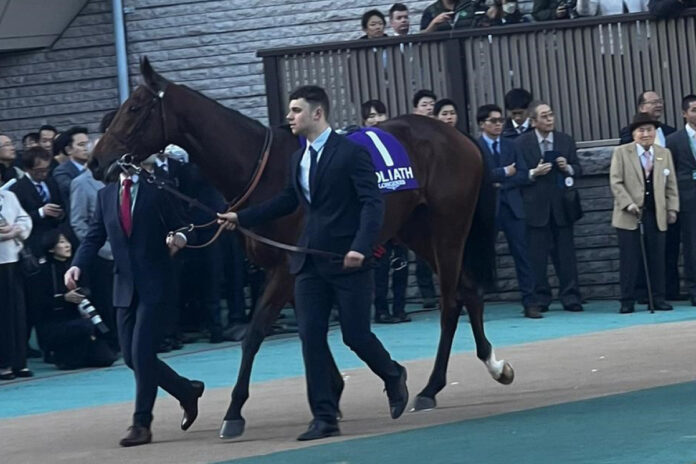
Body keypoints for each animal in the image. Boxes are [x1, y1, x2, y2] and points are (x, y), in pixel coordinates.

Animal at [92, 57, 512, 438]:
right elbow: (312, 329)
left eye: (133, 109)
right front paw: (336, 392)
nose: (97, 161)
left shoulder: (284, 267)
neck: (262, 169)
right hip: (417, 230)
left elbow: (257, 332)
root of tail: (457, 135)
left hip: (448, 228)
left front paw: (234, 412)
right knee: (468, 290)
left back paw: (431, 387)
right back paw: (494, 365)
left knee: (451, 303)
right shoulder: (297, 267)